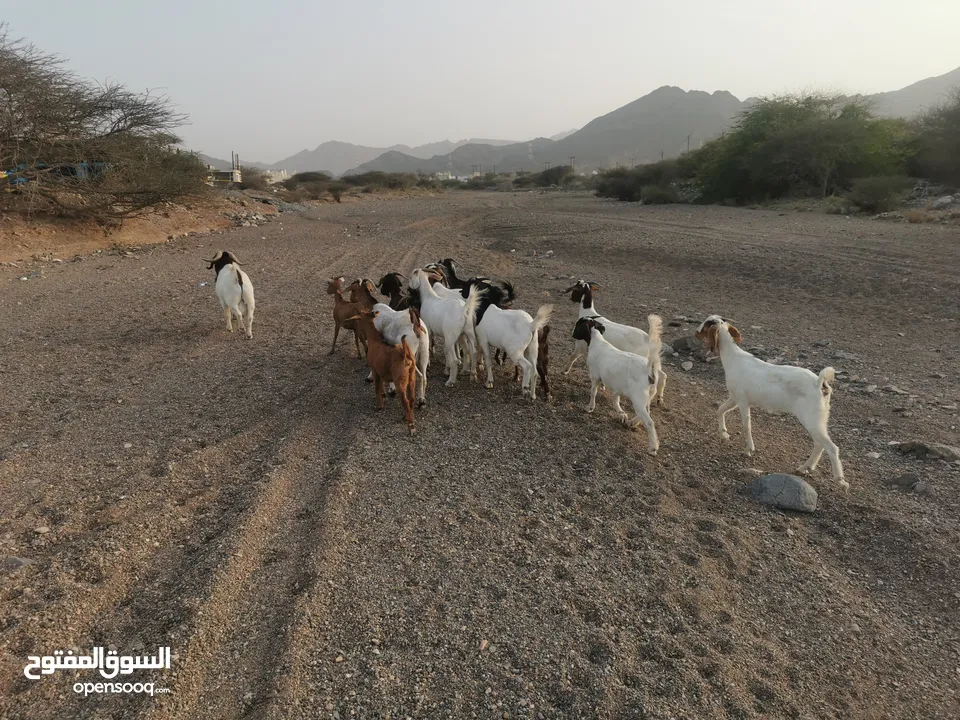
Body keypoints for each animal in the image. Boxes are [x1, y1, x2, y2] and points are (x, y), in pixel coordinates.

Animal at [572, 316, 664, 456]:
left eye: (578, 325)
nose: (572, 334)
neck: (598, 342)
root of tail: (649, 370)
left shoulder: (595, 376)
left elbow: (593, 392)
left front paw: (589, 408)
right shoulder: (617, 387)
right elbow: (615, 399)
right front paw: (622, 414)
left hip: (638, 397)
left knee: (649, 421)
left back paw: (652, 448)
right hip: (647, 396)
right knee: (645, 413)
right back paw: (631, 422)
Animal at [692, 316, 844, 490]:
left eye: (706, 324)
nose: (695, 333)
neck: (734, 358)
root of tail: (820, 384)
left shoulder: (742, 400)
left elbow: (746, 425)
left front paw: (749, 449)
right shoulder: (734, 398)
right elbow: (720, 410)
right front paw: (723, 434)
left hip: (811, 418)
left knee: (831, 447)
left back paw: (840, 480)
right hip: (820, 418)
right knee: (819, 444)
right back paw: (805, 467)